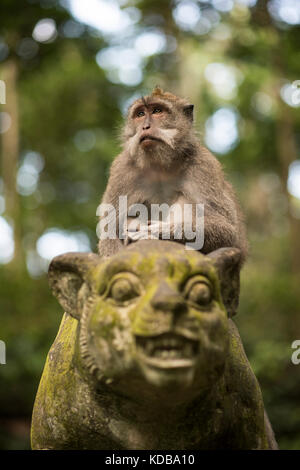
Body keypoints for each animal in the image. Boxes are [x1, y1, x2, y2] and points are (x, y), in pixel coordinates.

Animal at [97, 86, 247, 262]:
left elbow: (227, 230)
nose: (145, 127)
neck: (159, 164)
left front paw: (156, 231)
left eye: (157, 111)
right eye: (140, 114)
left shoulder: (204, 165)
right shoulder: (121, 170)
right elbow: (109, 232)